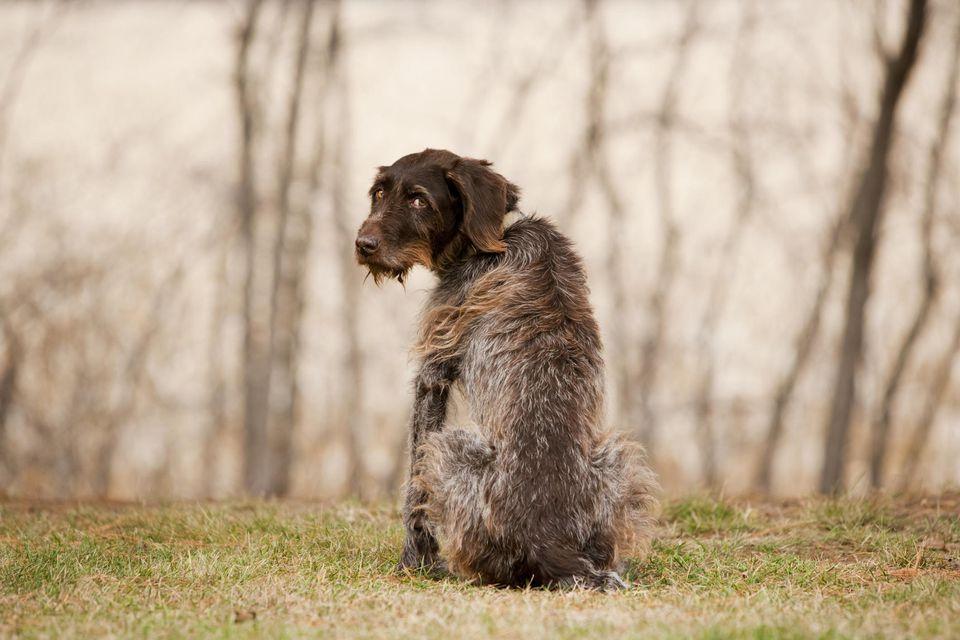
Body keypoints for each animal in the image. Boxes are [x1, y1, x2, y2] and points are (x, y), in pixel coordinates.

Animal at [354, 150, 660, 592]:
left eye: (418, 199)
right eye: (379, 193)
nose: (364, 245)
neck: (490, 241)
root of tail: (549, 542)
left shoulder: (433, 374)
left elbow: (412, 492)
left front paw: (414, 563)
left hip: (449, 450)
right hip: (621, 461)